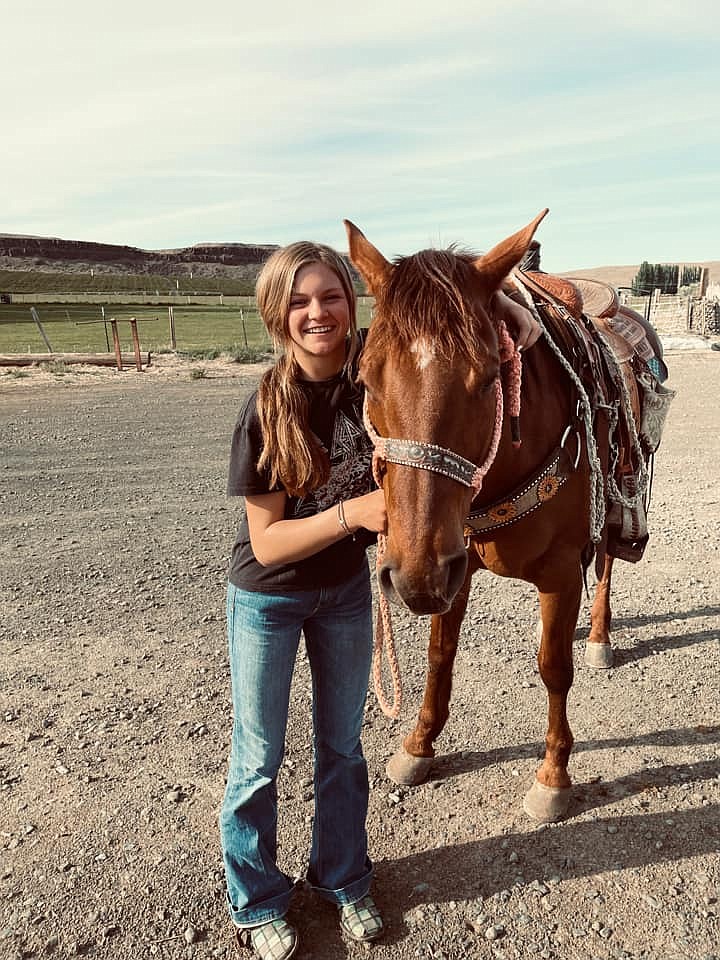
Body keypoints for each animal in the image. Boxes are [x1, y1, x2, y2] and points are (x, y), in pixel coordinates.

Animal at [344, 214, 624, 820]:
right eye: (366, 379)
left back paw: (598, 636)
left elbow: (553, 667)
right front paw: (418, 745)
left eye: (490, 375)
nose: (413, 578)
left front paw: (553, 774)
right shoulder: (454, 566)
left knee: (607, 567)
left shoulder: (560, 569)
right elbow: (439, 653)